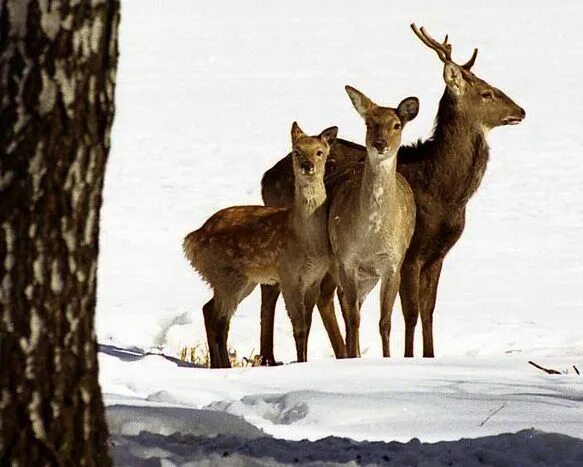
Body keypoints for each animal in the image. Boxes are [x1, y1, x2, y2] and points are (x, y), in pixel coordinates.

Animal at [182, 123, 338, 370]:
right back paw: (224, 366)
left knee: (210, 310)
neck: (305, 238)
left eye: (319, 152)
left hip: (243, 280)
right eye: (296, 151)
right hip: (226, 275)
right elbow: (299, 327)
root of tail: (192, 239)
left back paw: (217, 365)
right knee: (219, 318)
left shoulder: (314, 278)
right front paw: (300, 363)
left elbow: (308, 325)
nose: (307, 166)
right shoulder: (288, 274)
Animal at [258, 22, 524, 362]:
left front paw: (429, 355)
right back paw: (270, 357)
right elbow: (410, 312)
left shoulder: (438, 253)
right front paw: (408, 357)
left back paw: (340, 352)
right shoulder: (411, 252)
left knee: (322, 297)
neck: (446, 194)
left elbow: (429, 311)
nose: (521, 111)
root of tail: (265, 177)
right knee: (272, 289)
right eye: (487, 92)